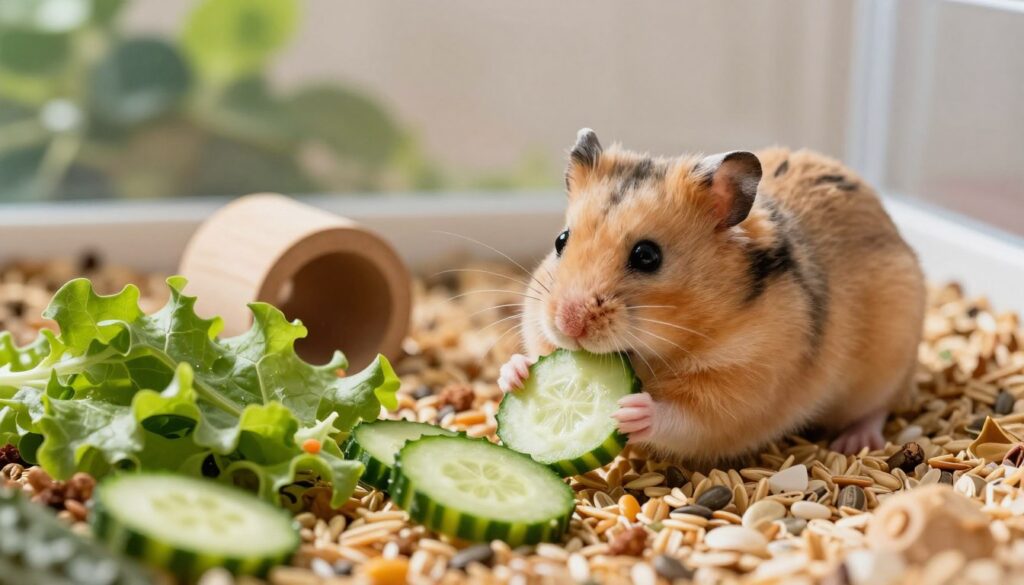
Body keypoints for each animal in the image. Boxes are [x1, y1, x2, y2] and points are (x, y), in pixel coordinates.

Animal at [498, 128, 925, 460]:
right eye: (560, 240)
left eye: (647, 256)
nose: (568, 324)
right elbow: (533, 349)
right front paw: (515, 373)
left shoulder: (744, 386)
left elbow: (688, 417)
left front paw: (631, 411)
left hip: (890, 359)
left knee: (879, 407)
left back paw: (853, 442)